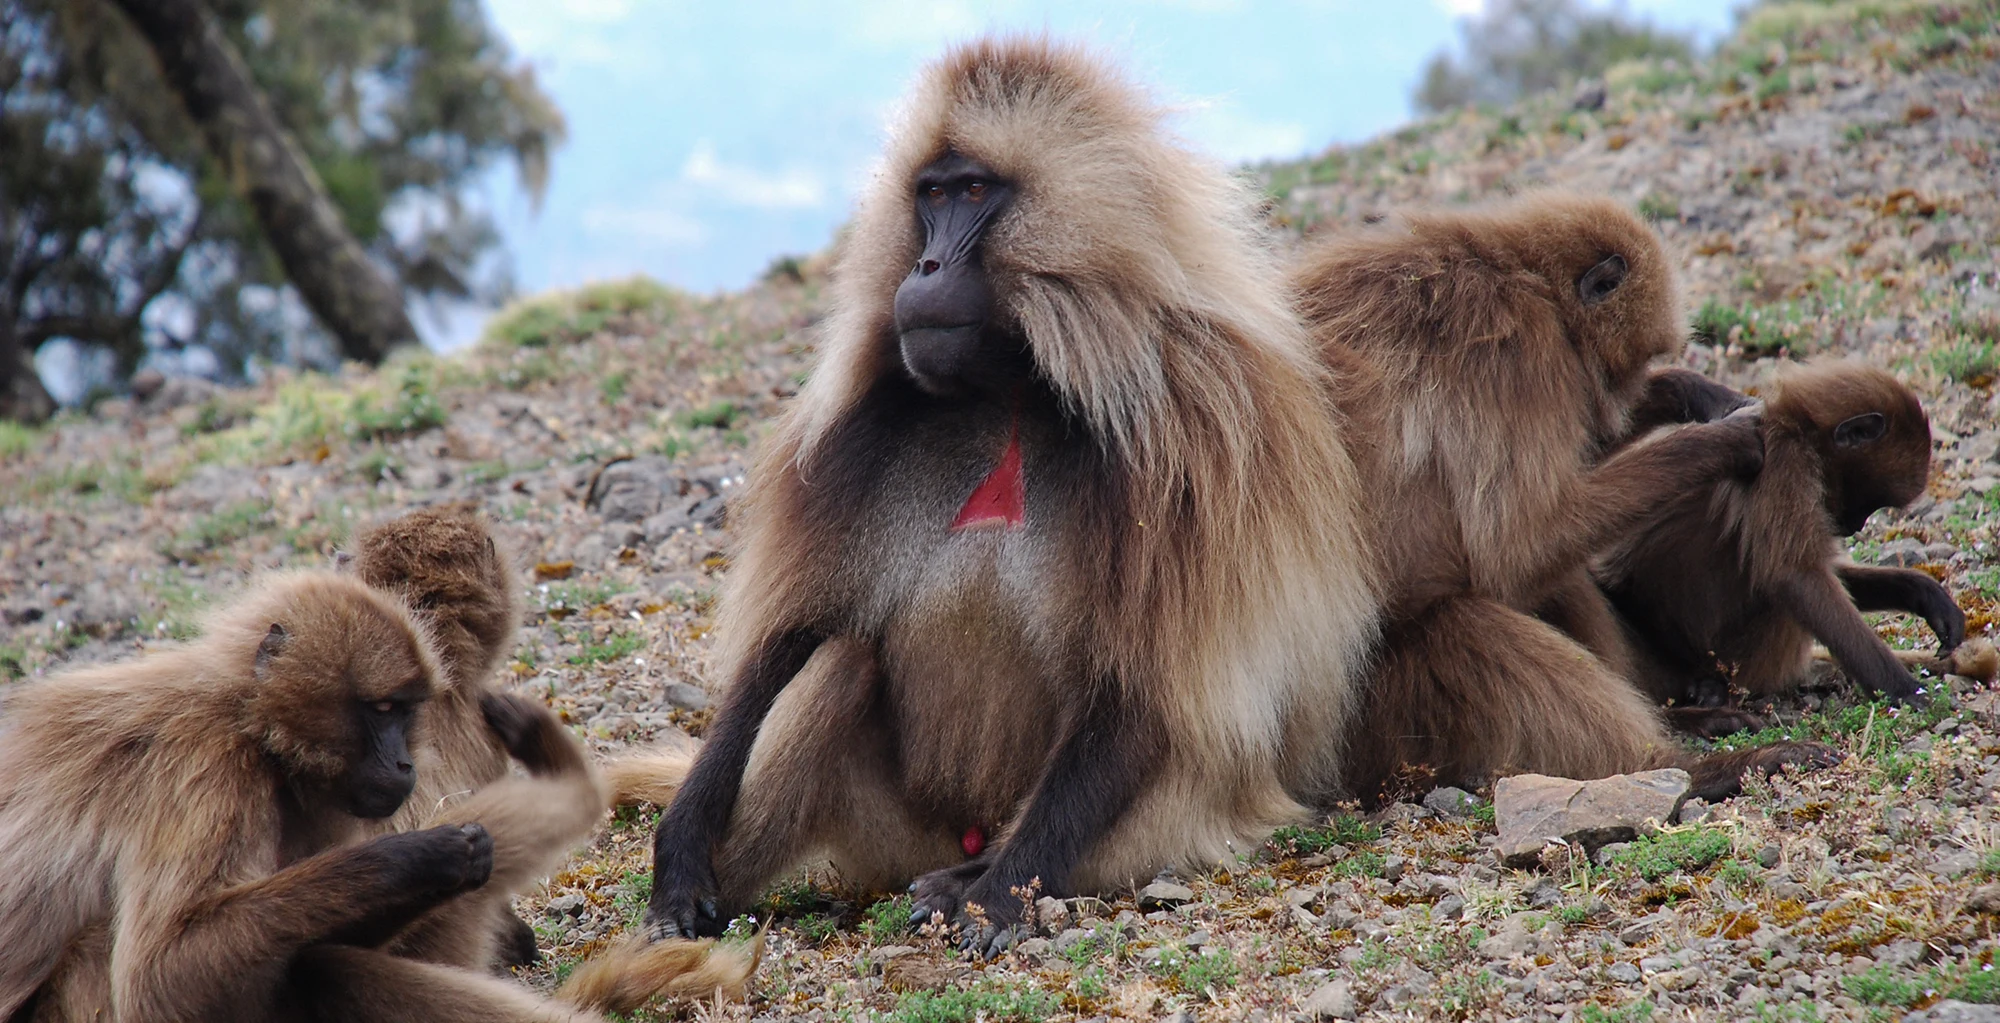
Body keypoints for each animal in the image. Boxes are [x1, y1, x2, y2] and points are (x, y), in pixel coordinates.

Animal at [0, 572, 746, 1022]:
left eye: (405, 711)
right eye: (382, 709)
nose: (405, 761)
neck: (251, 724)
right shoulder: (202, 766)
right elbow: (163, 975)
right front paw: (422, 856)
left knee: (316, 962)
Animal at [626, 37, 1381, 956]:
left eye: (976, 192)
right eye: (930, 195)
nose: (924, 265)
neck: (1016, 386)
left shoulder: (1193, 440)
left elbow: (1142, 695)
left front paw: (994, 901)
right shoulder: (865, 437)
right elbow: (794, 636)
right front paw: (680, 843)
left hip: (1171, 824)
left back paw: (969, 877)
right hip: (897, 830)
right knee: (838, 661)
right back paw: (706, 902)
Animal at [1290, 194, 1841, 805]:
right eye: (1632, 361)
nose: (1627, 394)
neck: (1518, 273)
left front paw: (1689, 392)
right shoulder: (1512, 354)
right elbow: (1519, 545)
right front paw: (1723, 441)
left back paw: (1684, 718)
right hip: (1380, 718)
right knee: (1472, 616)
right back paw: (1689, 769)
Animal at [1592, 360, 1993, 735]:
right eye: (1868, 502)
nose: (1855, 526)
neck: (1801, 426)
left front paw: (1924, 594)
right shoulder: (1784, 460)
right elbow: (1796, 576)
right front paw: (1904, 690)